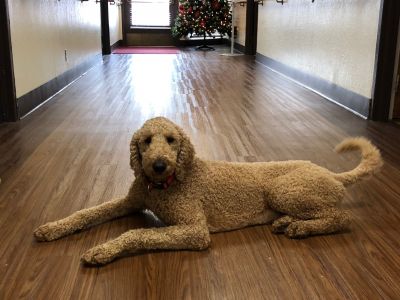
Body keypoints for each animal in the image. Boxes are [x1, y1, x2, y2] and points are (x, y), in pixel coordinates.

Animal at [32, 117, 382, 264]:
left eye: (171, 140)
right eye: (146, 141)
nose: (158, 165)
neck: (164, 186)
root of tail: (332, 174)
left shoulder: (194, 229)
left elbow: (137, 233)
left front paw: (103, 250)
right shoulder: (131, 201)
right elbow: (88, 211)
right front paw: (53, 227)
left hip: (284, 190)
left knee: (342, 218)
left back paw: (300, 228)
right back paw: (286, 222)